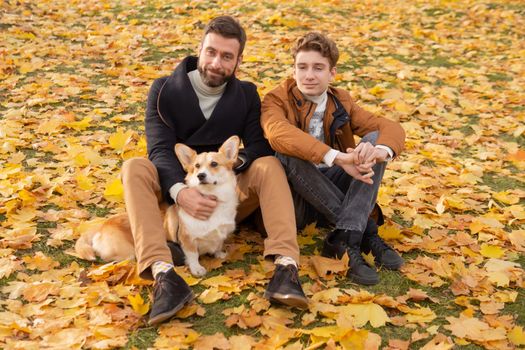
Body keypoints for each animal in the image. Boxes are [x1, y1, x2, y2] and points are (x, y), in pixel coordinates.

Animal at [75, 136, 239, 276]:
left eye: (214, 164)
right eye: (197, 166)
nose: (200, 176)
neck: (213, 199)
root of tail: (101, 226)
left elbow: (218, 244)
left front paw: (220, 254)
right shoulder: (187, 239)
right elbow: (193, 255)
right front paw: (196, 268)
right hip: (128, 252)